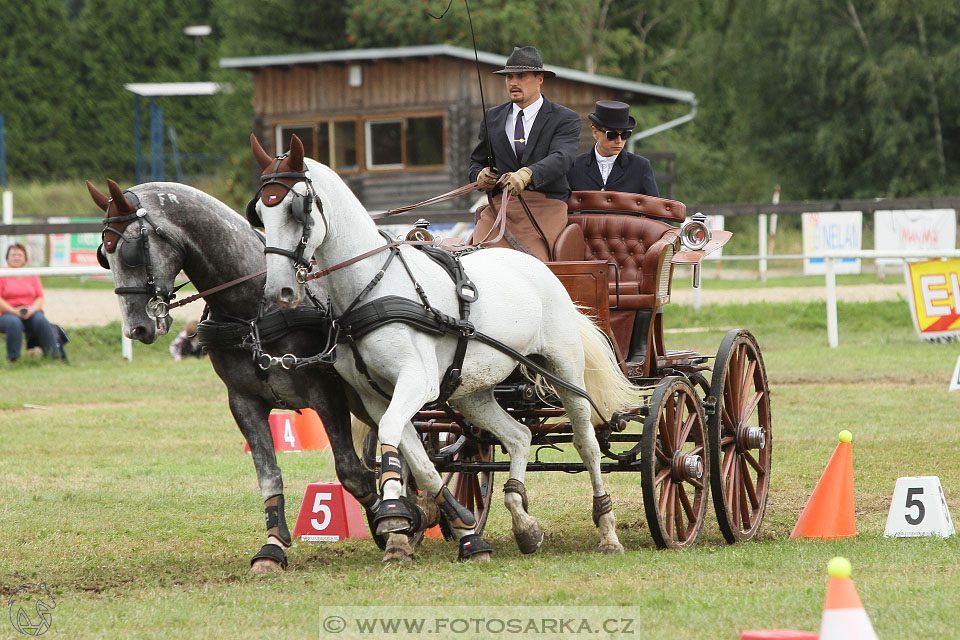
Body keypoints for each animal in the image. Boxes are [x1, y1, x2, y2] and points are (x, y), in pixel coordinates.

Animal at [253, 134, 636, 556]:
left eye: (297, 208)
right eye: (260, 213)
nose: (278, 291)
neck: (373, 287)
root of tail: (538, 266)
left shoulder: (416, 382)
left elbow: (393, 436)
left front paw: (395, 515)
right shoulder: (376, 395)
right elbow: (414, 456)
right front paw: (424, 524)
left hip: (564, 371)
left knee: (587, 442)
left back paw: (608, 530)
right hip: (473, 390)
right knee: (519, 436)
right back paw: (523, 522)